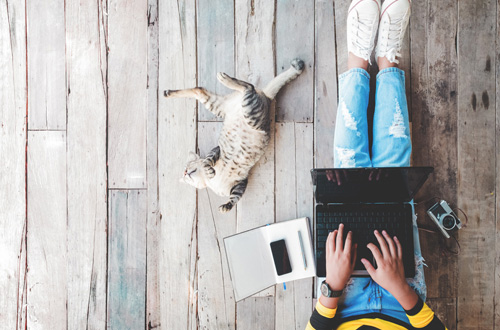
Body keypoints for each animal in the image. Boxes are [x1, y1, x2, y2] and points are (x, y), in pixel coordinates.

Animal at [166, 58, 302, 214]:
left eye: (188, 165)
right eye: (185, 173)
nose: (185, 172)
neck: (211, 182)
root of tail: (265, 98)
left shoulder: (228, 165)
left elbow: (209, 163)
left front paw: (223, 202)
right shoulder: (240, 184)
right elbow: (235, 197)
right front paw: (225, 206)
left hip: (250, 114)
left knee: (248, 87)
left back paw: (224, 78)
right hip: (217, 105)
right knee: (198, 89)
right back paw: (168, 93)